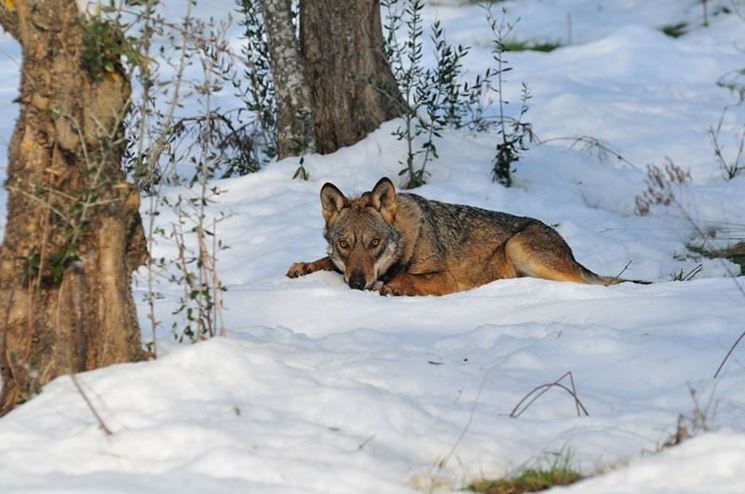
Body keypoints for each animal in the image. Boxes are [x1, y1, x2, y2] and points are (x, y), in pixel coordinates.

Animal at [288, 177, 636, 296]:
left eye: (374, 243)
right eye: (344, 244)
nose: (358, 284)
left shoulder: (446, 279)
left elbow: (404, 278)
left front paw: (393, 287)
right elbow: (325, 262)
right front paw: (303, 266)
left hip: (518, 247)